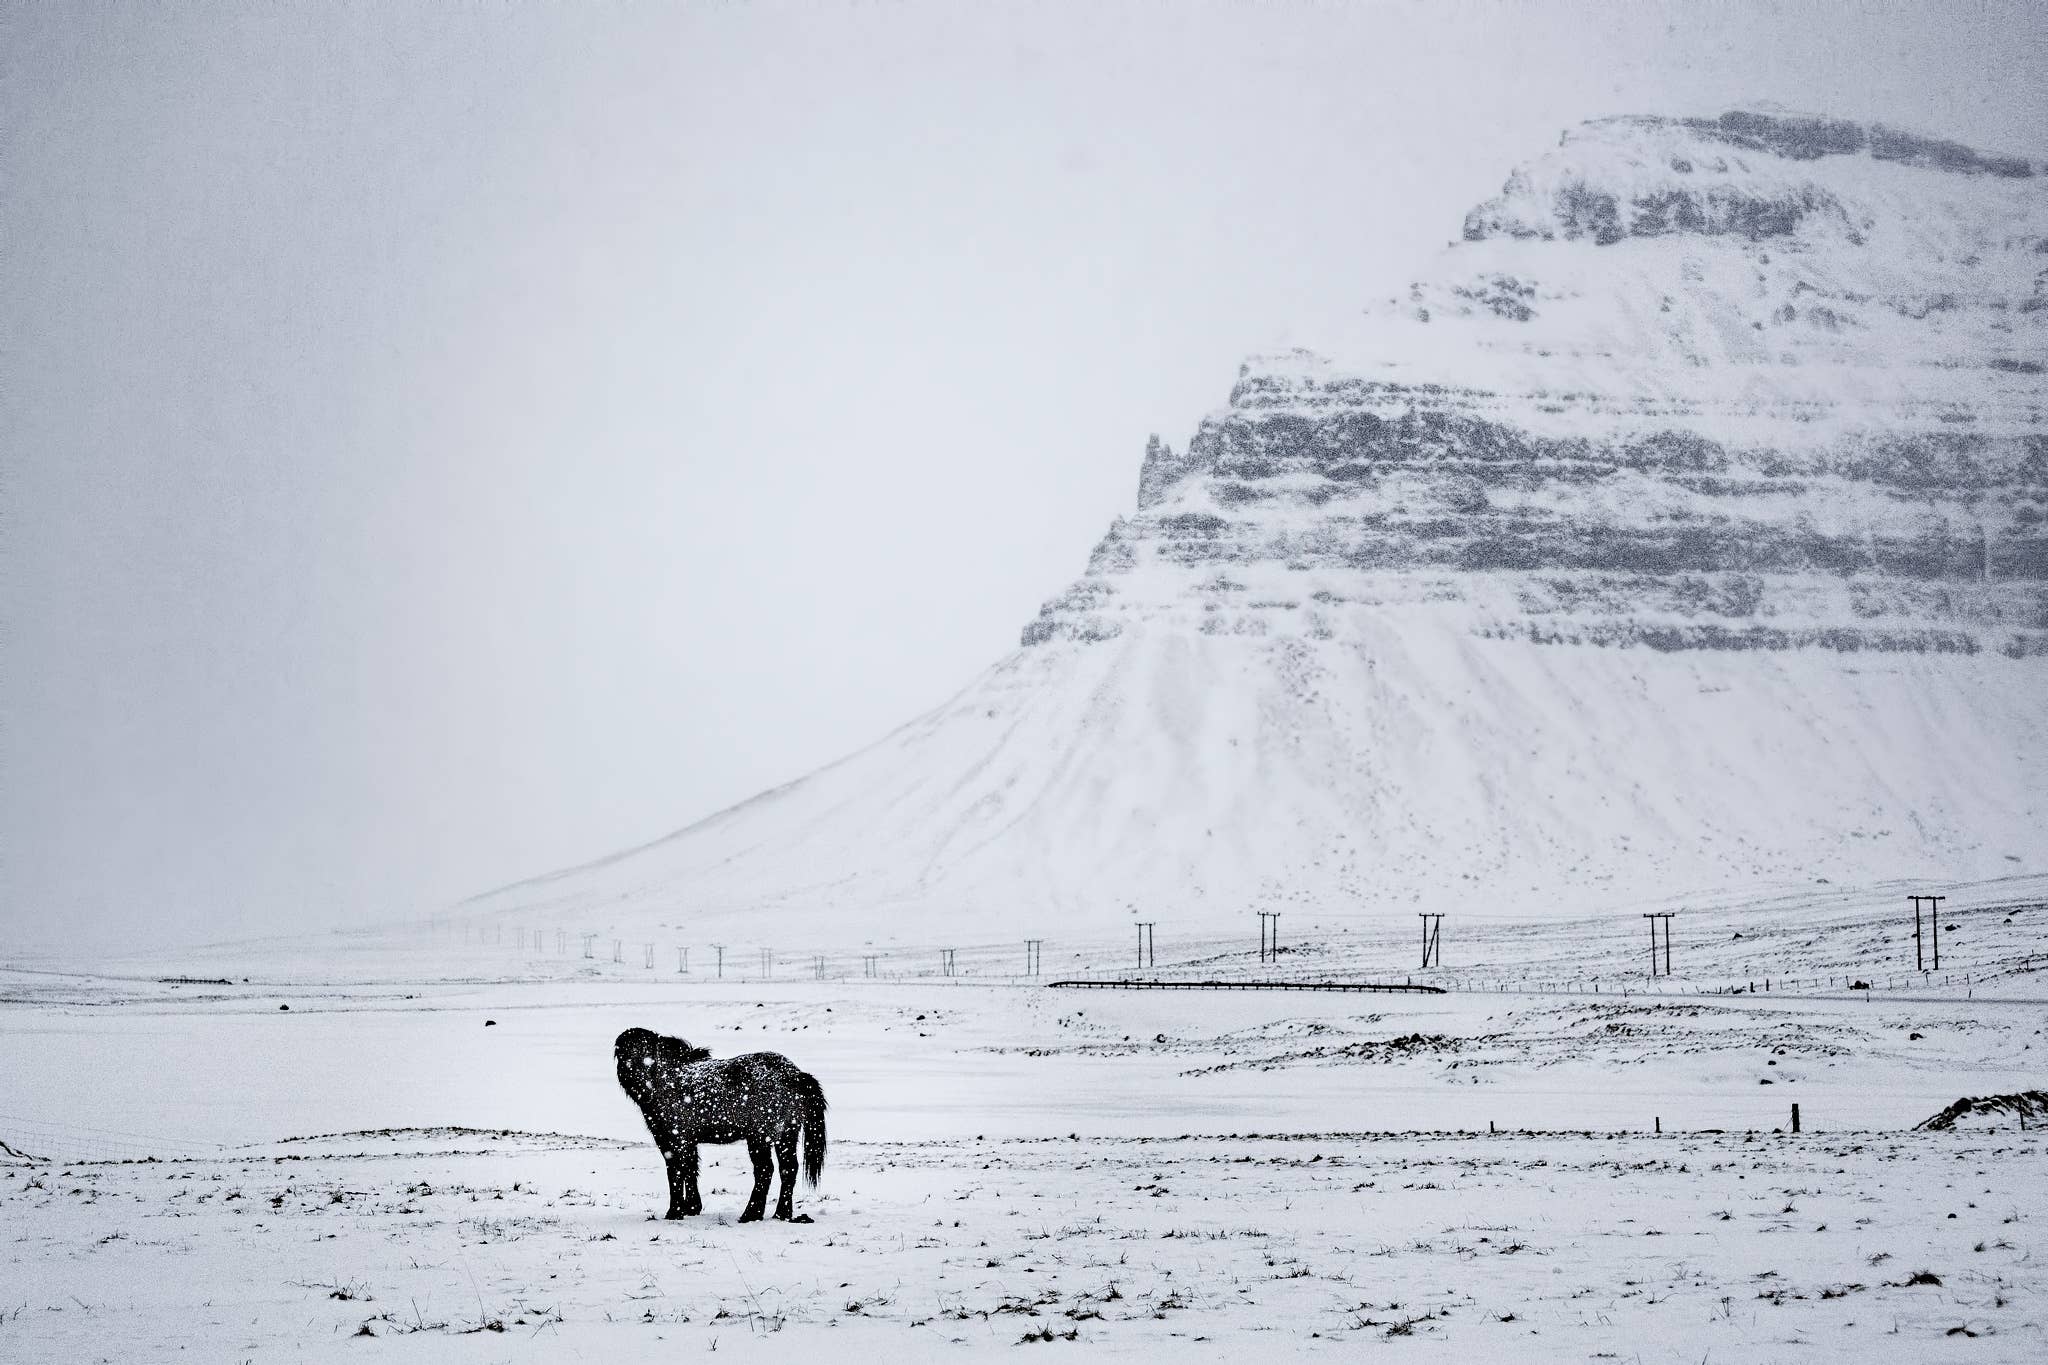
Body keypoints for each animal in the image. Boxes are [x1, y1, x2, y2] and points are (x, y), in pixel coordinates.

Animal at [612, 1026, 828, 1223]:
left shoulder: (673, 1139)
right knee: (788, 1169)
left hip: (760, 1137)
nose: (634, 1078)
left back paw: (751, 1214)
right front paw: (692, 1207)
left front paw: (674, 1212)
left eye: (647, 1053)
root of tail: (796, 1075)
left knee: (766, 1170)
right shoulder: (688, 1141)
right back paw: (780, 1214)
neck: (667, 1080)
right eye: (622, 1055)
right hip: (786, 1135)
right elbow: (691, 1169)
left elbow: (676, 1172)